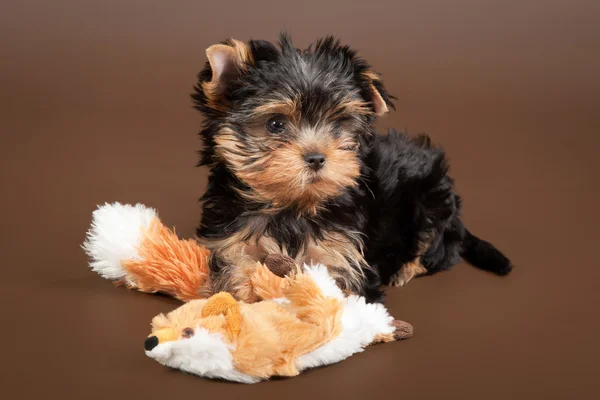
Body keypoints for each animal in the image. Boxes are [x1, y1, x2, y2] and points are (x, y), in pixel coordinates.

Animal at [192, 33, 510, 304]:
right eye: (275, 124)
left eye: (338, 124)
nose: (317, 157)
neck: (293, 205)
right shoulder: (230, 241)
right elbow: (234, 268)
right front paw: (241, 291)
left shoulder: (341, 253)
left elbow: (336, 291)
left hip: (430, 198)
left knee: (437, 248)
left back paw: (405, 268)